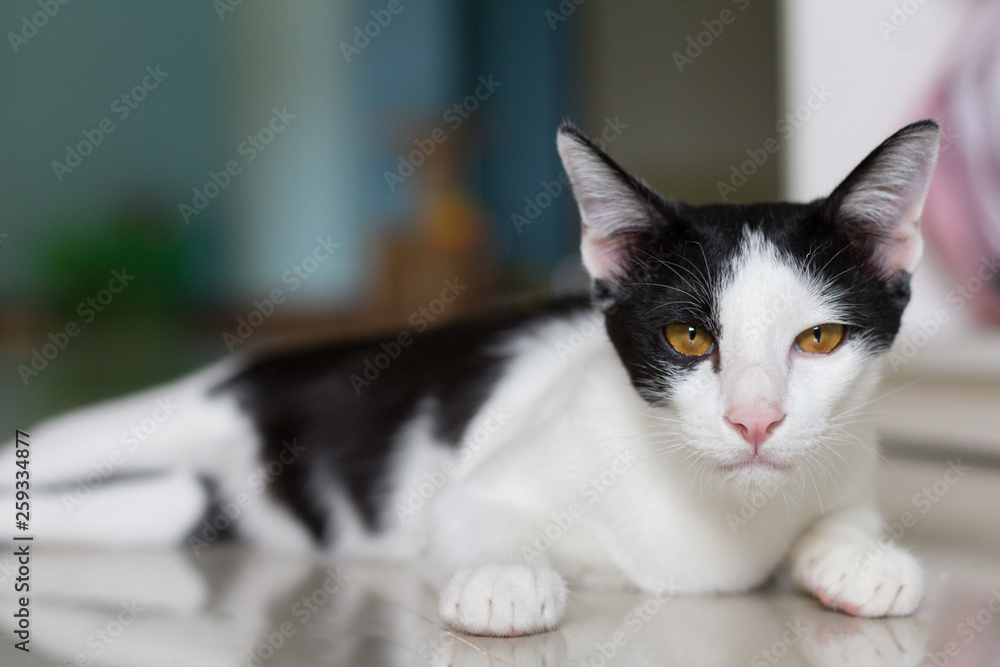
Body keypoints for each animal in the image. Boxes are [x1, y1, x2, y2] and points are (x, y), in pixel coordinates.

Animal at [0, 118, 936, 636]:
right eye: (687, 334)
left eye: (819, 339)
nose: (754, 421)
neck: (712, 508)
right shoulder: (471, 490)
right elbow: (478, 516)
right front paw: (505, 578)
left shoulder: (847, 459)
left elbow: (841, 517)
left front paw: (858, 556)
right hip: (172, 415)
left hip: (177, 508)